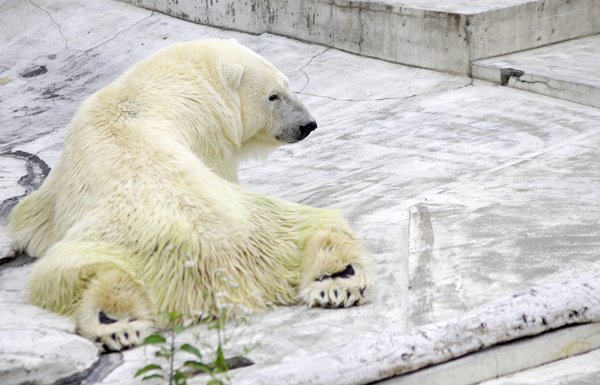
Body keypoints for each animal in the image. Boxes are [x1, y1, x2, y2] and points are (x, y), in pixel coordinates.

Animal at [8, 39, 376, 352]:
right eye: (274, 95)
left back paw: (337, 281)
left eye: (287, 86)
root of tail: (222, 265)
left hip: (250, 223)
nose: (308, 125)